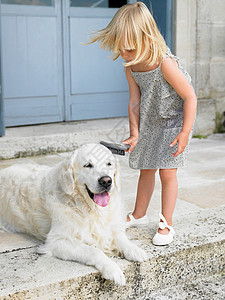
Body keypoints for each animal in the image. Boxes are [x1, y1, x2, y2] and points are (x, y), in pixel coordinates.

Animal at [0, 144, 148, 284]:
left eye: (109, 164)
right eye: (88, 165)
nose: (106, 181)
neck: (89, 208)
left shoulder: (110, 227)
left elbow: (121, 238)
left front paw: (135, 250)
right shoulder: (57, 241)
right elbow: (93, 250)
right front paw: (113, 270)